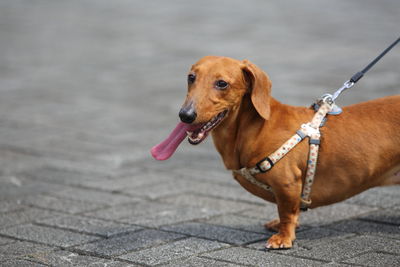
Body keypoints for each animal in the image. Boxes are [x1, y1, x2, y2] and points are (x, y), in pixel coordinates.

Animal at [151, 56, 400, 249]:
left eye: (222, 83)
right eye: (191, 77)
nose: (185, 115)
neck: (254, 129)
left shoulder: (287, 183)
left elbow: (287, 212)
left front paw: (283, 237)